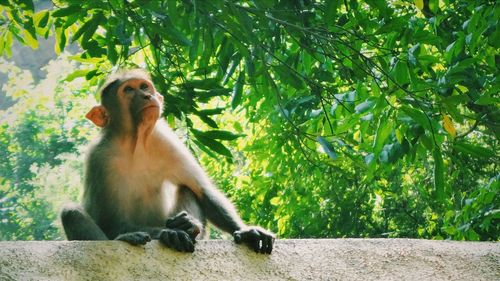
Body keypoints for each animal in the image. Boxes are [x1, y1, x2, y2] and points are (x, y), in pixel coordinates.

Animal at [61, 69, 278, 253]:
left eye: (144, 87)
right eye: (128, 90)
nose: (147, 96)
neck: (134, 143)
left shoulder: (165, 140)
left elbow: (202, 190)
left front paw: (246, 231)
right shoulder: (100, 158)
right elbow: (111, 221)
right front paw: (174, 232)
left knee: (188, 189)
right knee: (71, 213)